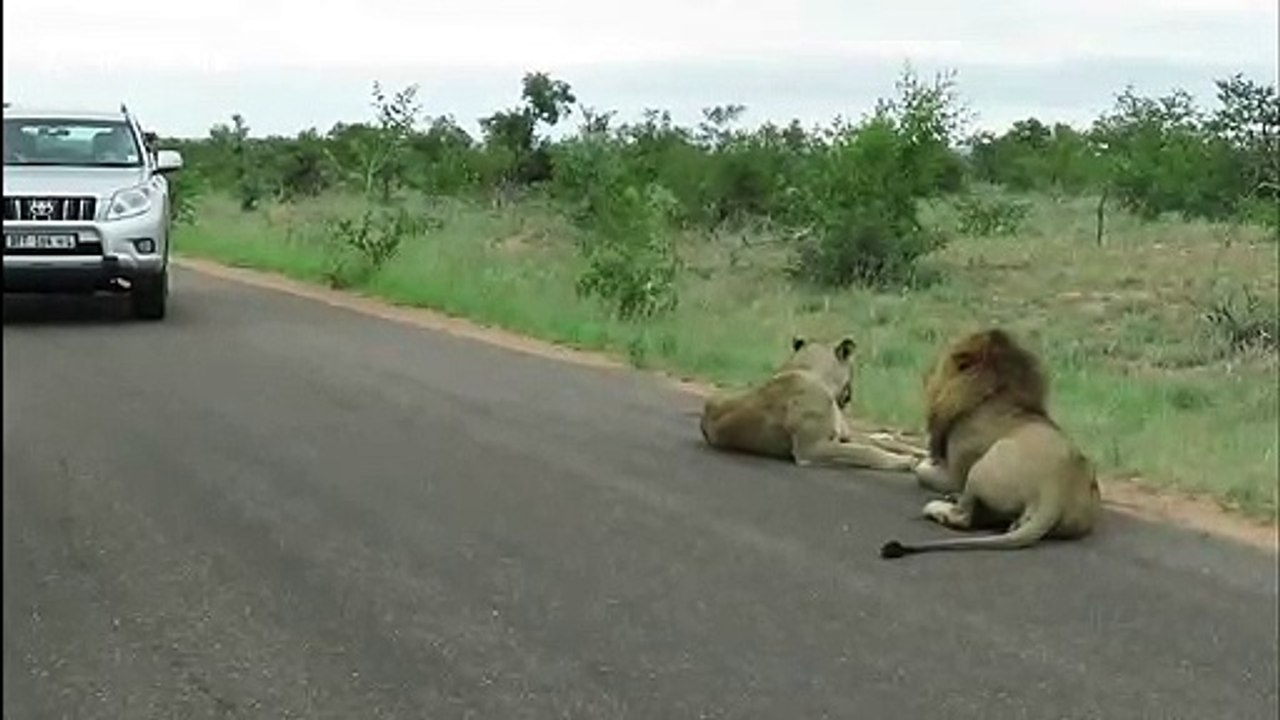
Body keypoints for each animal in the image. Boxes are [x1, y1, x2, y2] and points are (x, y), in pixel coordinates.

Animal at [700, 335, 926, 471]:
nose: (850, 396)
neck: (810, 370)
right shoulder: (811, 449)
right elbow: (865, 451)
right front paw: (905, 462)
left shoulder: (845, 436)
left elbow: (885, 444)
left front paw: (920, 453)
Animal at [879, 327, 1102, 559]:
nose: (925, 375)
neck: (989, 397)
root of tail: (1054, 489)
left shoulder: (953, 474)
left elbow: (920, 471)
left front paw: (916, 463)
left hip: (983, 465)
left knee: (963, 517)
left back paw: (938, 507)